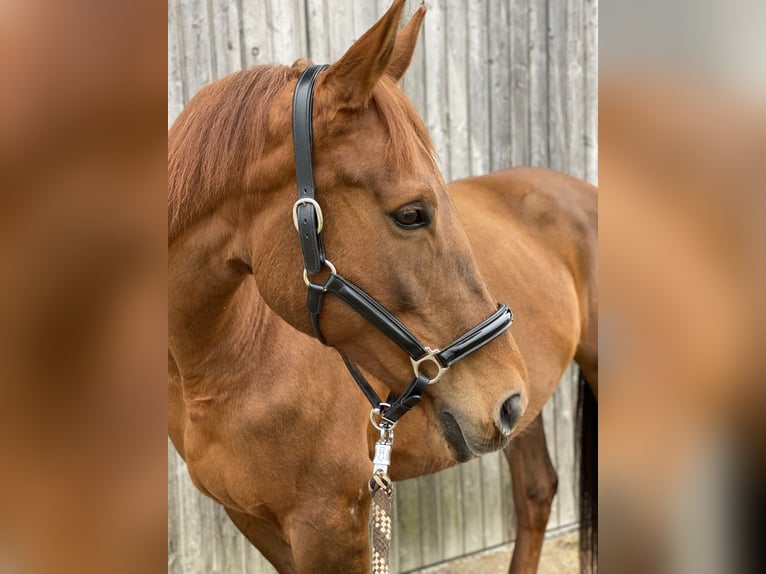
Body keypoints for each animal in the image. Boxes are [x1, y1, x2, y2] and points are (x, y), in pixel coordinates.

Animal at [168, 2, 600, 572]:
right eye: (412, 213)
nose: (507, 399)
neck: (224, 360)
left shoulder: (333, 525)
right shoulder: (256, 521)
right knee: (536, 494)